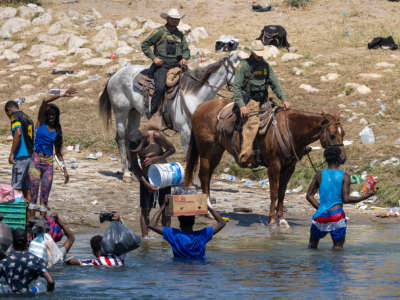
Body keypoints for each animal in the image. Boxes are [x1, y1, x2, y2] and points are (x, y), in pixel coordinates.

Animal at [99, 51, 241, 180]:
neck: (194, 96)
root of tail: (114, 75)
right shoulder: (185, 131)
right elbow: (188, 155)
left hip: (134, 112)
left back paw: (133, 171)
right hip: (120, 111)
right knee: (121, 138)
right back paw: (126, 174)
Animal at [184, 99, 344, 227]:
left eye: (343, 133)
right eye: (332, 135)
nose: (342, 158)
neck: (289, 130)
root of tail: (199, 108)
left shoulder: (289, 168)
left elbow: (282, 193)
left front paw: (282, 219)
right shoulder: (274, 166)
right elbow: (273, 193)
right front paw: (272, 220)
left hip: (216, 152)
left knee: (207, 176)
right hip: (207, 152)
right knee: (204, 176)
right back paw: (209, 211)